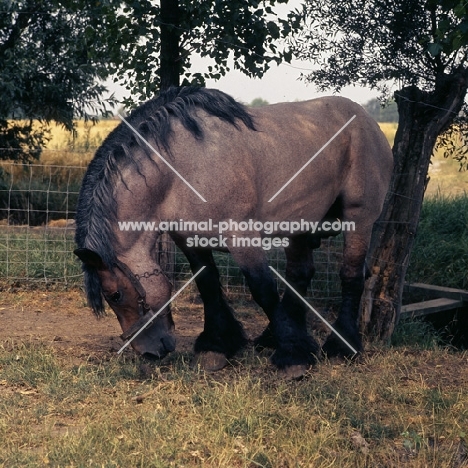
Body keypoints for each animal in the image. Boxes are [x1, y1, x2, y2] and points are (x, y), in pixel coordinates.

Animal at [75, 87, 394, 380]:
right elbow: (208, 286)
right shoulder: (190, 240)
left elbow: (263, 290)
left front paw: (293, 357)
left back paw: (342, 347)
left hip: (359, 217)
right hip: (299, 224)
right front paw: (217, 346)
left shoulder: (243, 239)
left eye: (115, 295)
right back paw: (274, 338)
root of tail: (368, 120)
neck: (182, 168)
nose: (148, 352)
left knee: (351, 276)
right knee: (300, 276)